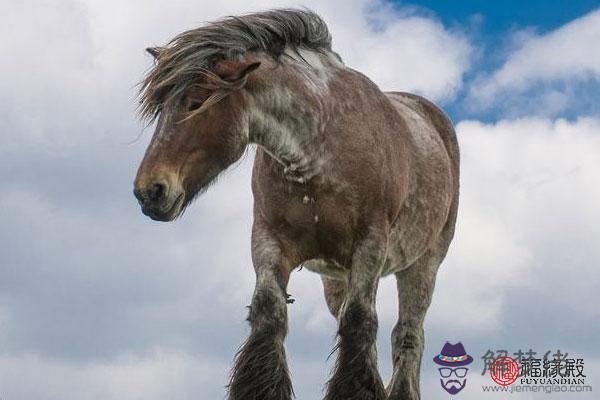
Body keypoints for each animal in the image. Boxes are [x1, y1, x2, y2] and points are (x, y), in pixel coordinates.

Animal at [132, 8, 460, 400]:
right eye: (160, 108)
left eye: (196, 102)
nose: (149, 190)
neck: (318, 148)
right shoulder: (268, 240)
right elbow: (269, 312)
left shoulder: (370, 243)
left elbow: (360, 320)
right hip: (336, 276)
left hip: (423, 265)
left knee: (407, 336)